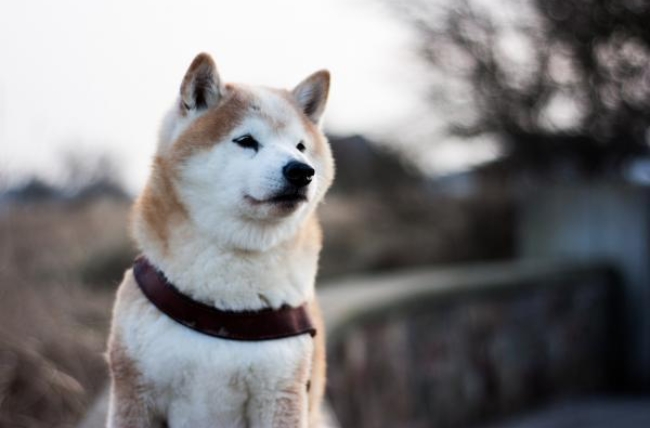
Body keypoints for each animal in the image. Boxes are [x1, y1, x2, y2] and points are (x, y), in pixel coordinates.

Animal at [105, 53, 334, 428]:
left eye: (300, 146)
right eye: (246, 140)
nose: (301, 171)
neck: (227, 306)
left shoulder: (280, 394)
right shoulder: (135, 391)